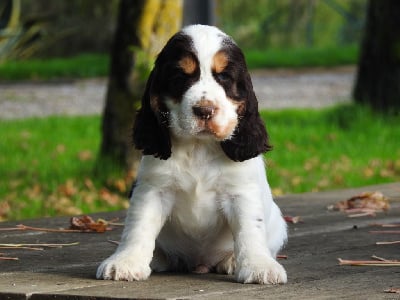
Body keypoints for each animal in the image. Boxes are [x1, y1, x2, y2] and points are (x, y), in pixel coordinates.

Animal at [97, 24, 288, 284]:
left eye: (224, 77)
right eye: (180, 78)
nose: (205, 110)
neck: (199, 146)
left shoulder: (241, 192)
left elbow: (250, 230)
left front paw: (259, 267)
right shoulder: (153, 190)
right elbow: (138, 227)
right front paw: (125, 262)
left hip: (278, 224)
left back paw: (231, 261)